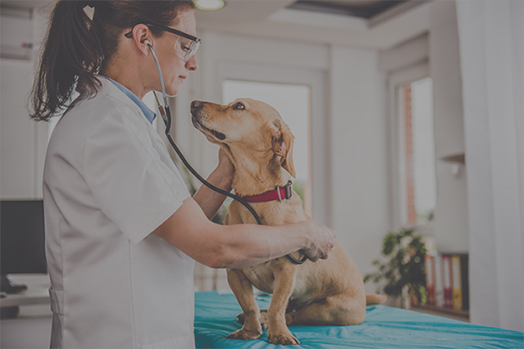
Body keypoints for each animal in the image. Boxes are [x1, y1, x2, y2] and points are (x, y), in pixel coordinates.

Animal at [190, 98, 386, 346]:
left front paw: (278, 333)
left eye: (239, 106)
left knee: (293, 314)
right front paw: (249, 331)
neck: (255, 198)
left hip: (331, 310)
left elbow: (277, 306)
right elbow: (250, 304)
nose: (193, 104)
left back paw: (270, 321)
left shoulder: (286, 271)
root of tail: (363, 297)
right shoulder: (235, 273)